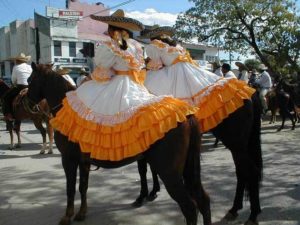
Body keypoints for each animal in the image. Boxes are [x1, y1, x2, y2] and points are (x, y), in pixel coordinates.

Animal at [27, 62, 212, 225]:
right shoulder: (84, 162)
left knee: (190, 208)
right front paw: (81, 213)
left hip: (169, 173)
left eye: (29, 80)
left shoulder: (68, 160)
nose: (29, 104)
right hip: (187, 170)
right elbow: (83, 187)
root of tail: (187, 114)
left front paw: (67, 217)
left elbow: (70, 188)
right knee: (203, 200)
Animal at [134, 85, 262, 224]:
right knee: (242, 173)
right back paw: (235, 209)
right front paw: (151, 191)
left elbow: (144, 170)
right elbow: (147, 169)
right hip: (238, 147)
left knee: (251, 172)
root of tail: (248, 89)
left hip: (235, 144)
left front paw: (145, 194)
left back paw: (252, 216)